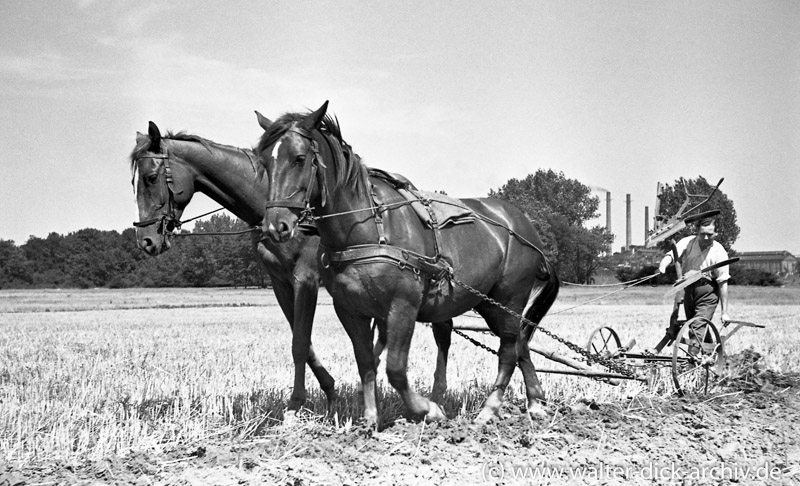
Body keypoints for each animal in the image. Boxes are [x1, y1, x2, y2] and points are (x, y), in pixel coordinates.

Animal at [131, 118, 456, 418]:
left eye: (150, 177)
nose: (145, 240)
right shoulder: (280, 281)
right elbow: (302, 340)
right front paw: (329, 389)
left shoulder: (306, 278)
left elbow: (300, 341)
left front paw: (297, 403)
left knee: (440, 331)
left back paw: (435, 395)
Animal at [255, 102, 556, 426]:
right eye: (265, 163)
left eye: (299, 159)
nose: (275, 226)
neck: (366, 227)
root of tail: (524, 225)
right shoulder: (349, 309)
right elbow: (366, 363)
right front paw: (370, 419)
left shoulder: (403, 305)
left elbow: (395, 370)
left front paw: (429, 409)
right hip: (488, 302)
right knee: (519, 343)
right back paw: (535, 402)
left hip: (510, 296)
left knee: (509, 349)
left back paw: (489, 410)